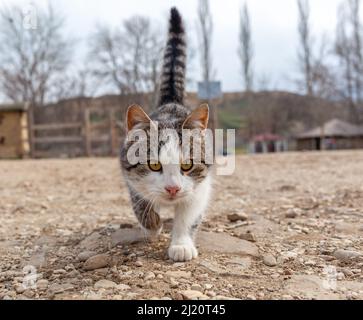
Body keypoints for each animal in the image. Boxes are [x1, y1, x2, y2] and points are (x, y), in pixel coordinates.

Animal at [122, 7, 213, 262]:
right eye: (154, 165)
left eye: (187, 165)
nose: (172, 189)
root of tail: (171, 101)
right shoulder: (130, 179)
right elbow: (140, 202)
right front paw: (153, 224)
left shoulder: (200, 187)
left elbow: (188, 215)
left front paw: (181, 245)